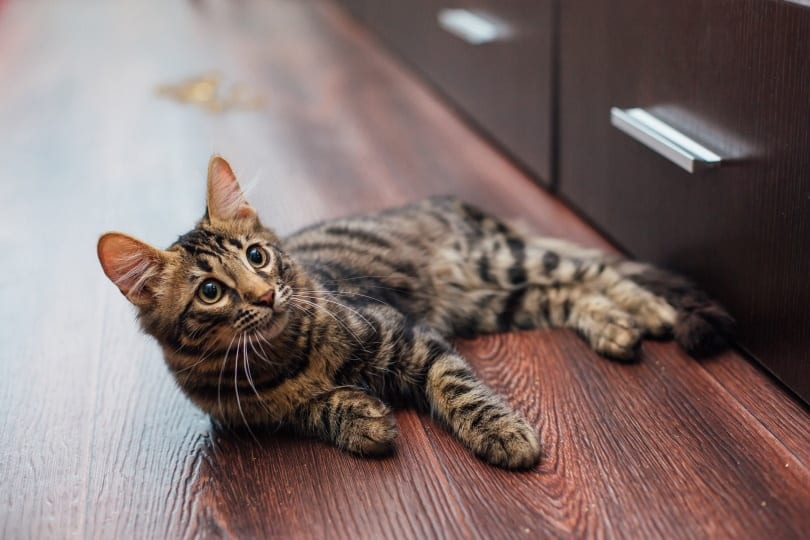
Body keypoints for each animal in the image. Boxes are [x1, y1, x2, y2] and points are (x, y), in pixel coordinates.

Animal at [96, 155, 732, 468]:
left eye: (257, 256)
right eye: (211, 292)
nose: (264, 295)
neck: (282, 355)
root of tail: (451, 201)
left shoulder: (410, 337)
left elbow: (460, 390)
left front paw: (503, 433)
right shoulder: (252, 415)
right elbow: (312, 410)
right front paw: (362, 419)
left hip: (497, 263)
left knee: (595, 272)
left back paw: (648, 311)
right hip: (494, 302)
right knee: (569, 294)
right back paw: (615, 327)